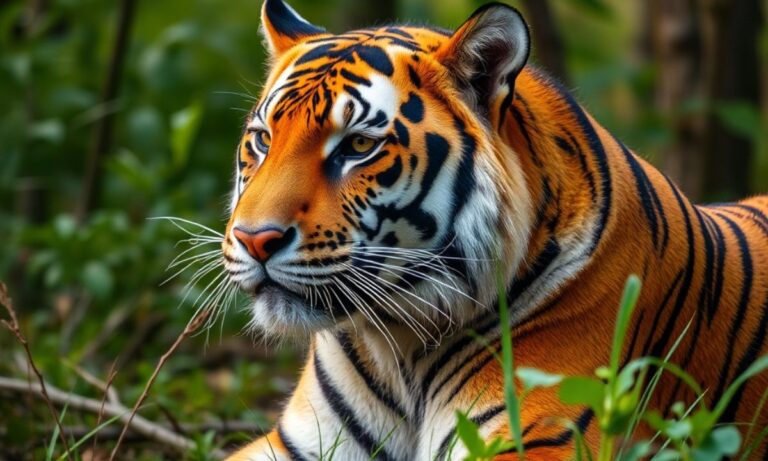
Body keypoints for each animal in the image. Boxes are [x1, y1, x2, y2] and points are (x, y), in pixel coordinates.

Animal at [219, 0, 768, 459]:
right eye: (263, 140)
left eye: (358, 146)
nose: (254, 239)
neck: (398, 348)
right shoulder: (298, 442)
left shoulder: (543, 440)